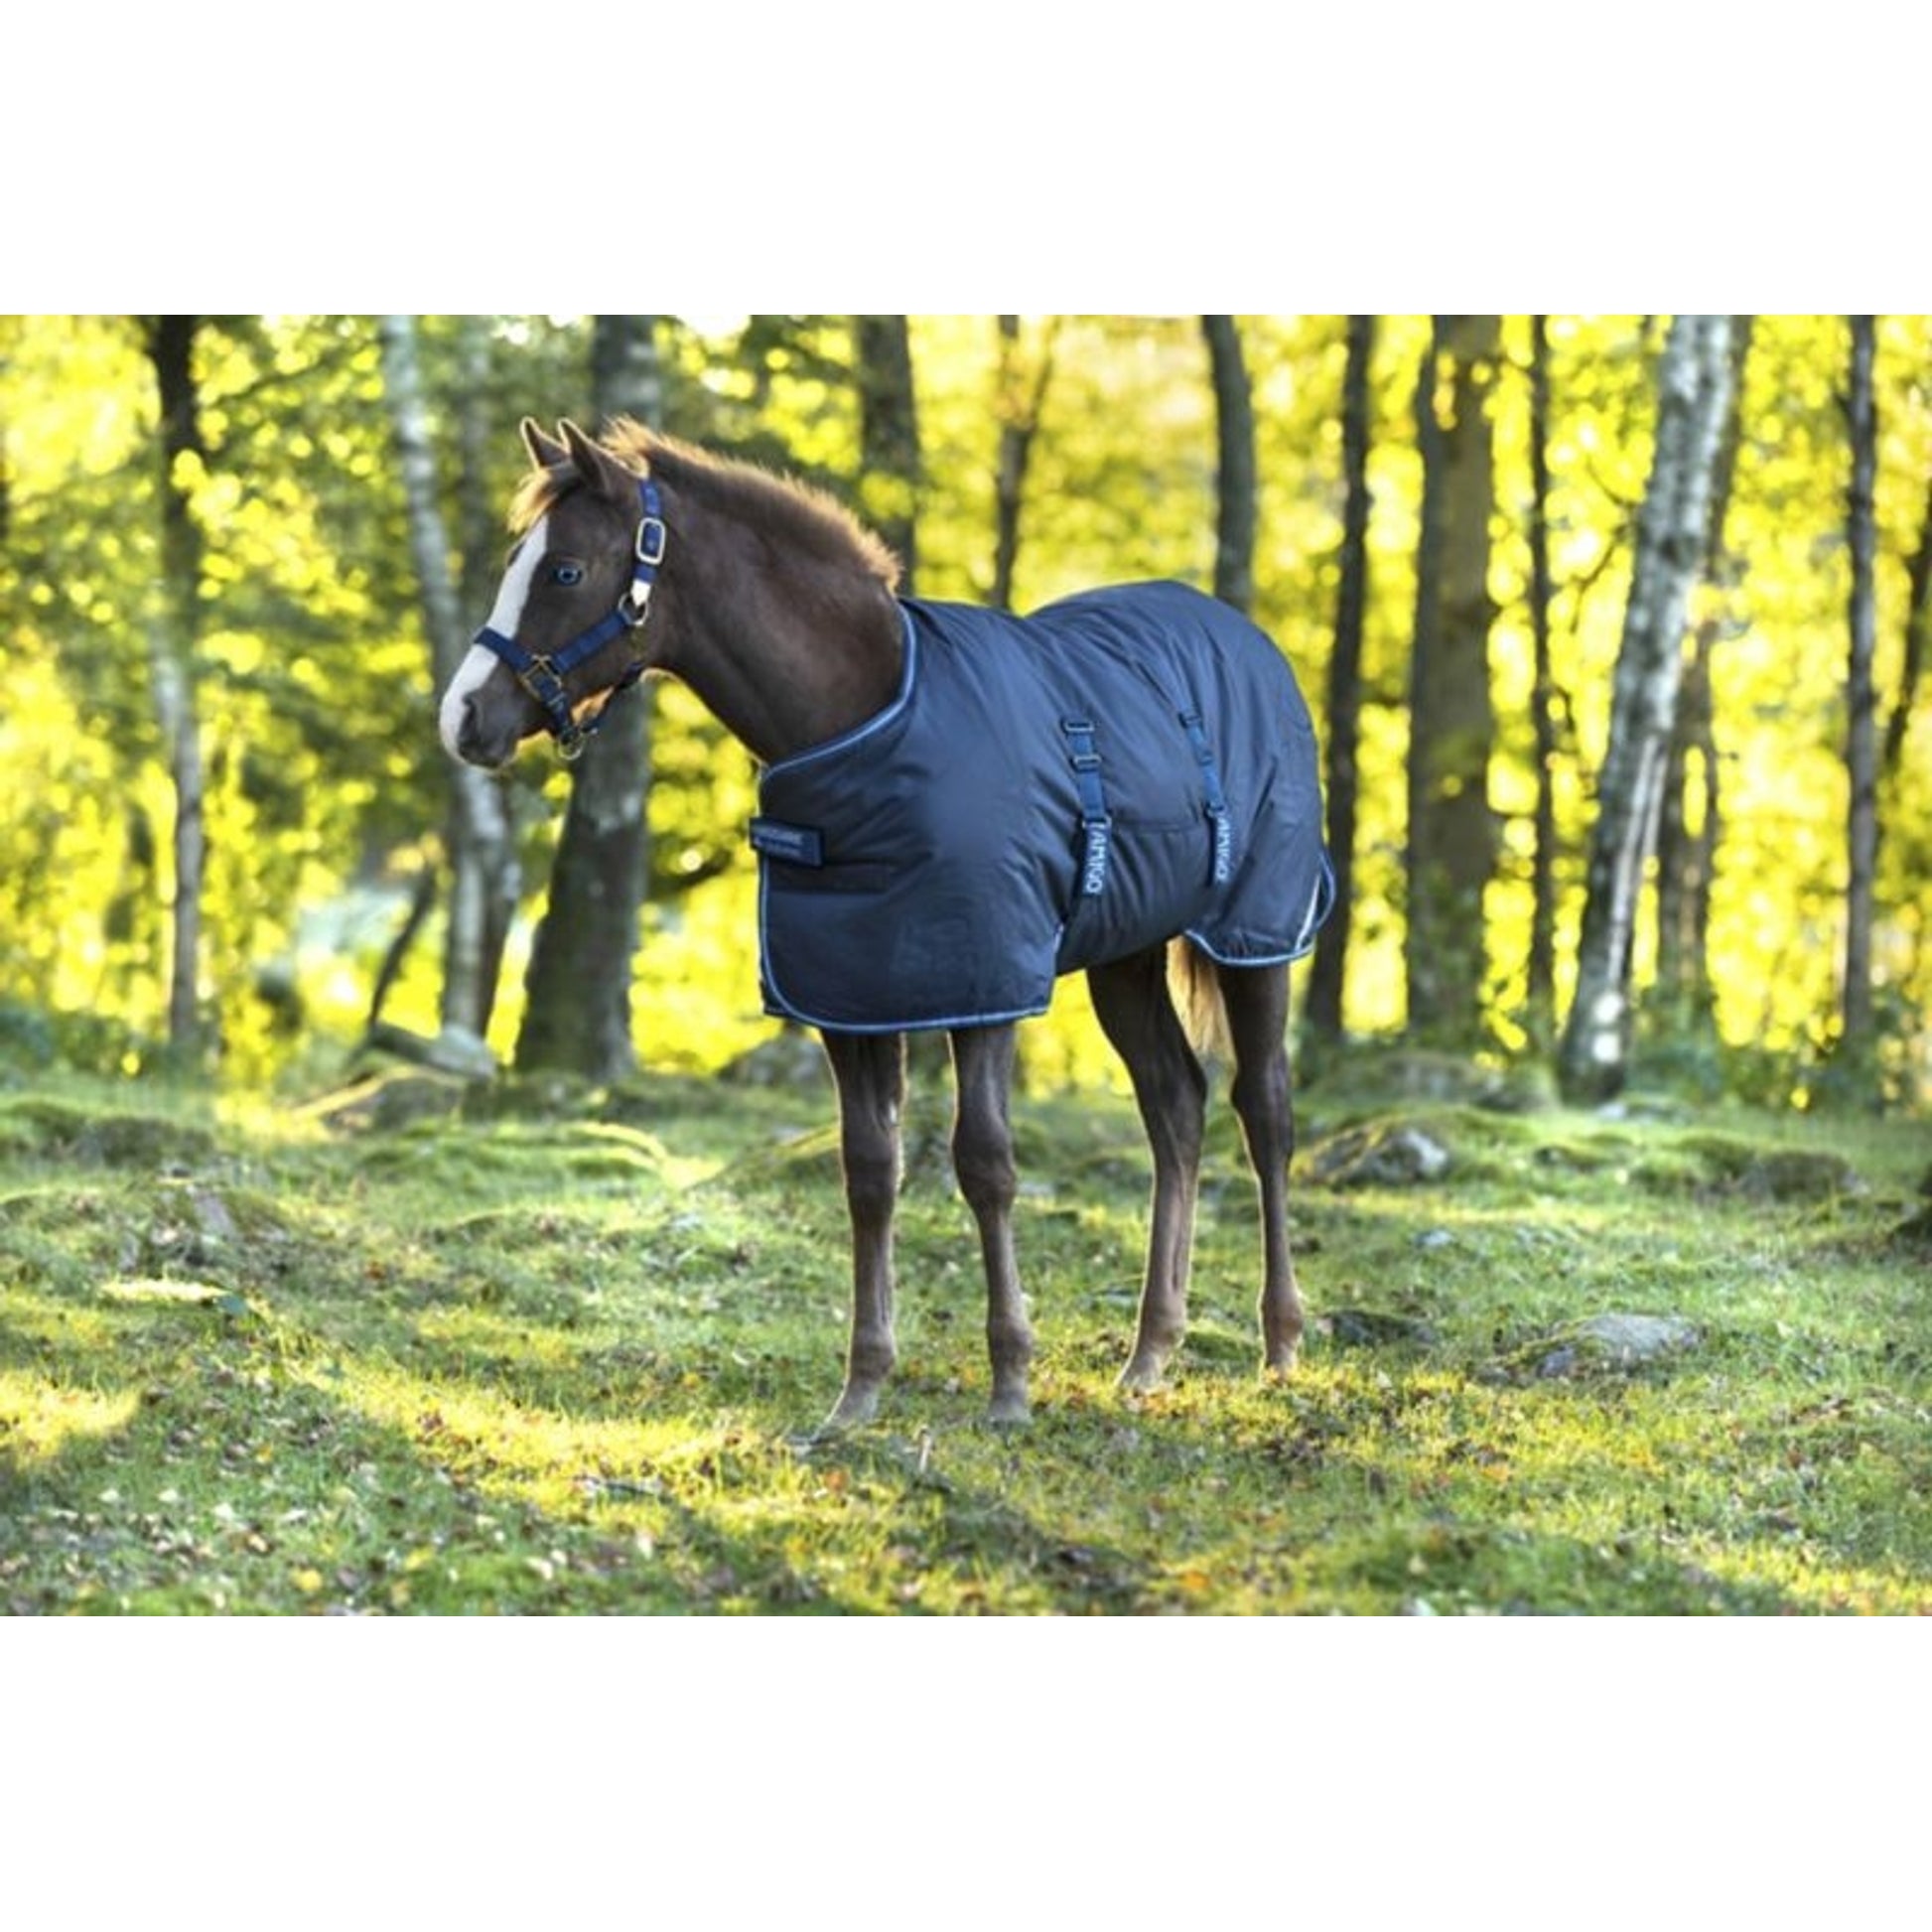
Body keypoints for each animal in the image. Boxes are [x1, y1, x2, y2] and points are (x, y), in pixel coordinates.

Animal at [441, 417, 1333, 1431]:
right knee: (1175, 1108)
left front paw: (1009, 1385)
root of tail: (1248, 641)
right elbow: (869, 1173)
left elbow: (984, 1163)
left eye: (563, 571)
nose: (463, 717)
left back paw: (1279, 1343)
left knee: (1263, 1111)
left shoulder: (984, 988)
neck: (864, 719)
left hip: (1255, 942)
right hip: (1127, 959)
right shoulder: (854, 995)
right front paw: (859, 1393)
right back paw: (1150, 1355)